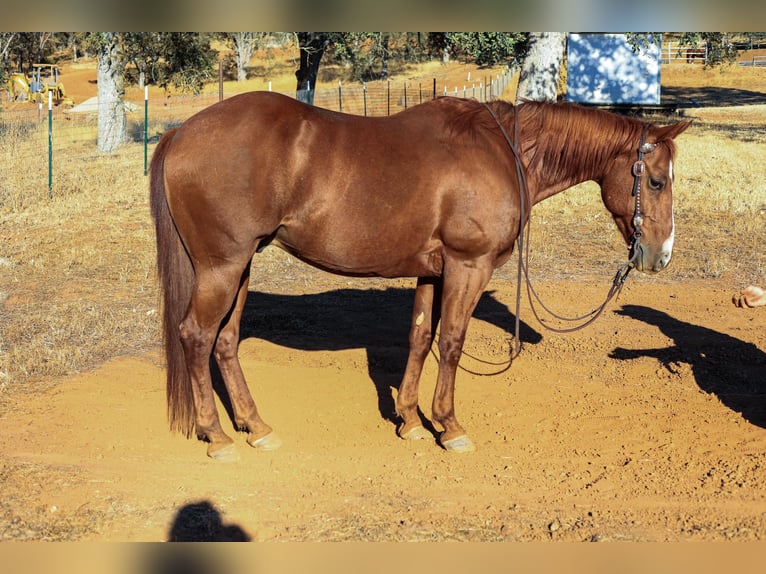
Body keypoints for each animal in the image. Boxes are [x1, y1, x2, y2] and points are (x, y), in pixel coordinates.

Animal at [149, 91, 690, 460]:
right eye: (655, 182)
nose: (659, 256)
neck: (501, 151)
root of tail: (181, 133)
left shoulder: (433, 272)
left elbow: (420, 338)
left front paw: (409, 419)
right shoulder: (468, 265)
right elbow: (450, 341)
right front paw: (448, 426)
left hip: (239, 266)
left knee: (225, 341)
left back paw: (255, 426)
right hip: (222, 266)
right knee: (197, 336)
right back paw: (217, 436)